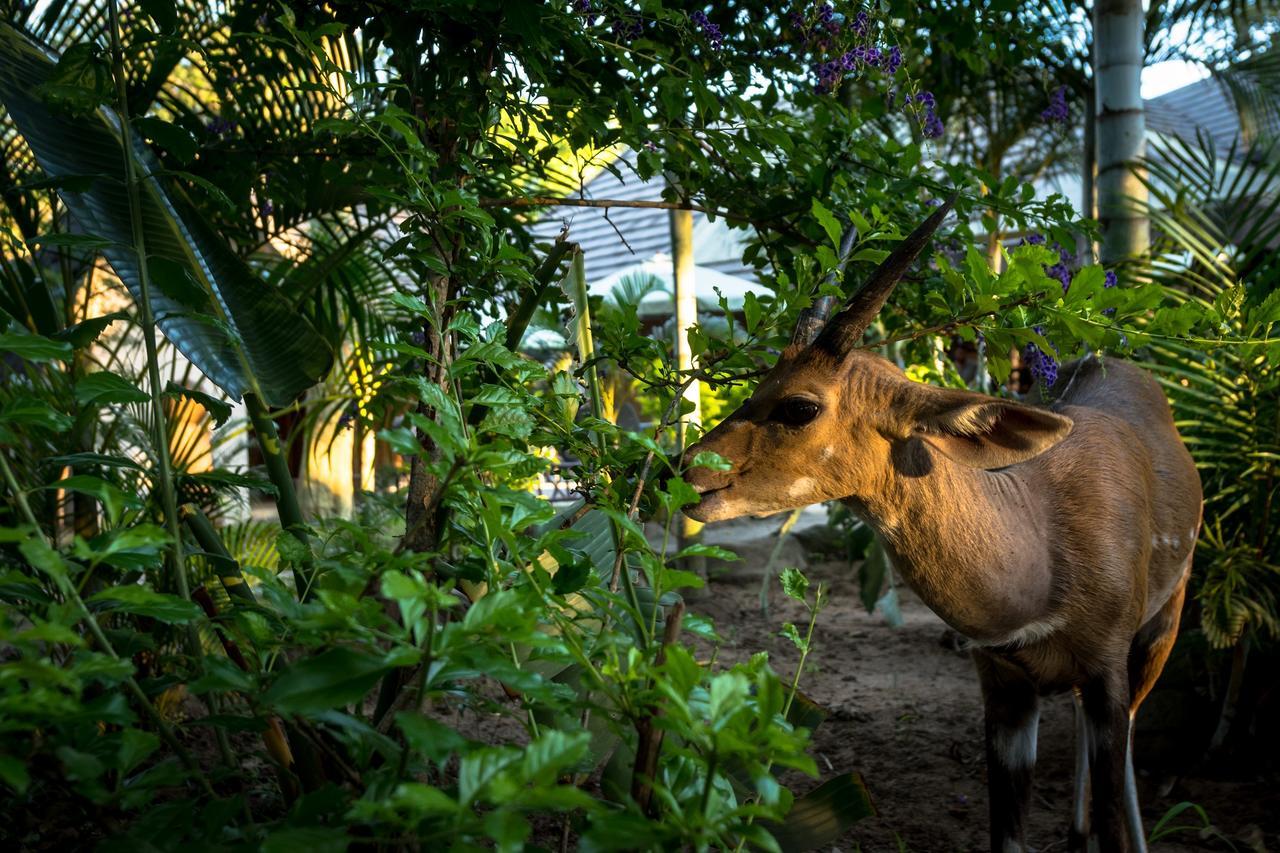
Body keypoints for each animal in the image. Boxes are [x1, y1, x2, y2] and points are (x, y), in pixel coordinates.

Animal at [686, 195, 1203, 845]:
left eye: (800, 405)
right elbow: (1008, 832)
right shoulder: (1002, 683)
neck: (1042, 556)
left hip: (1165, 622)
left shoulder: (1107, 665)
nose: (685, 471)